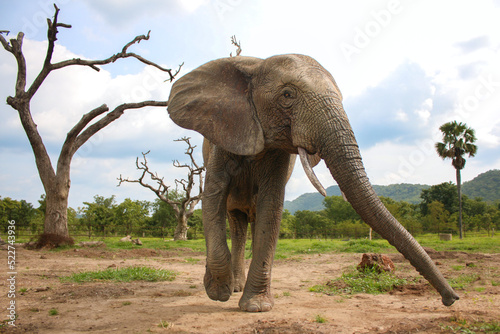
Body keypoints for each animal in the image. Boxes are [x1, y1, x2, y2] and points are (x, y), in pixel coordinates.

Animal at [166, 53, 458, 312]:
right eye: (287, 95)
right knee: (235, 220)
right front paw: (217, 292)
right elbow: (212, 197)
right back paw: (232, 286)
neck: (256, 65)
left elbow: (271, 207)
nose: (451, 299)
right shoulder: (222, 136)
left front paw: (256, 307)